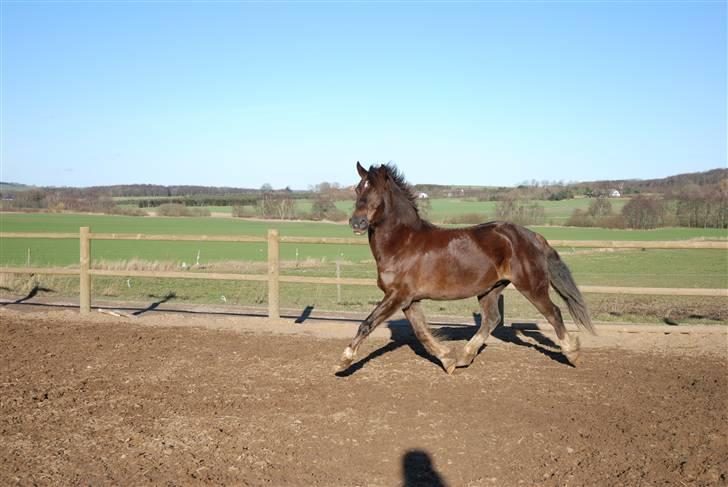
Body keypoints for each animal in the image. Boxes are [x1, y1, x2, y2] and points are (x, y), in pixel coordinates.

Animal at [338, 162, 596, 376]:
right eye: (358, 189)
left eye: (377, 192)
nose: (357, 222)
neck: (403, 243)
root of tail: (533, 236)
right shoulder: (409, 299)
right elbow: (421, 332)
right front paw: (448, 360)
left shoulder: (397, 295)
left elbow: (367, 324)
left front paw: (343, 361)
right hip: (490, 289)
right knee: (491, 319)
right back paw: (464, 356)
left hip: (531, 286)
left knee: (554, 313)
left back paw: (573, 355)